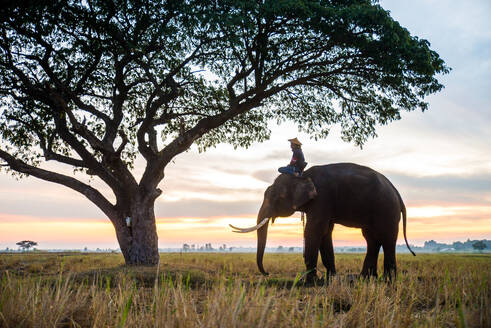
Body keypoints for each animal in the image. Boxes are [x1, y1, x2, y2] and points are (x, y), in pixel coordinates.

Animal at [231, 163, 416, 280]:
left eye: (277, 198)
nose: (268, 273)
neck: (301, 175)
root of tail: (397, 193)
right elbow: (325, 232)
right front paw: (329, 278)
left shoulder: (322, 199)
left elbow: (314, 231)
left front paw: (309, 281)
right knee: (371, 239)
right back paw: (365, 278)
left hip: (387, 210)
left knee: (387, 239)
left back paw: (388, 280)